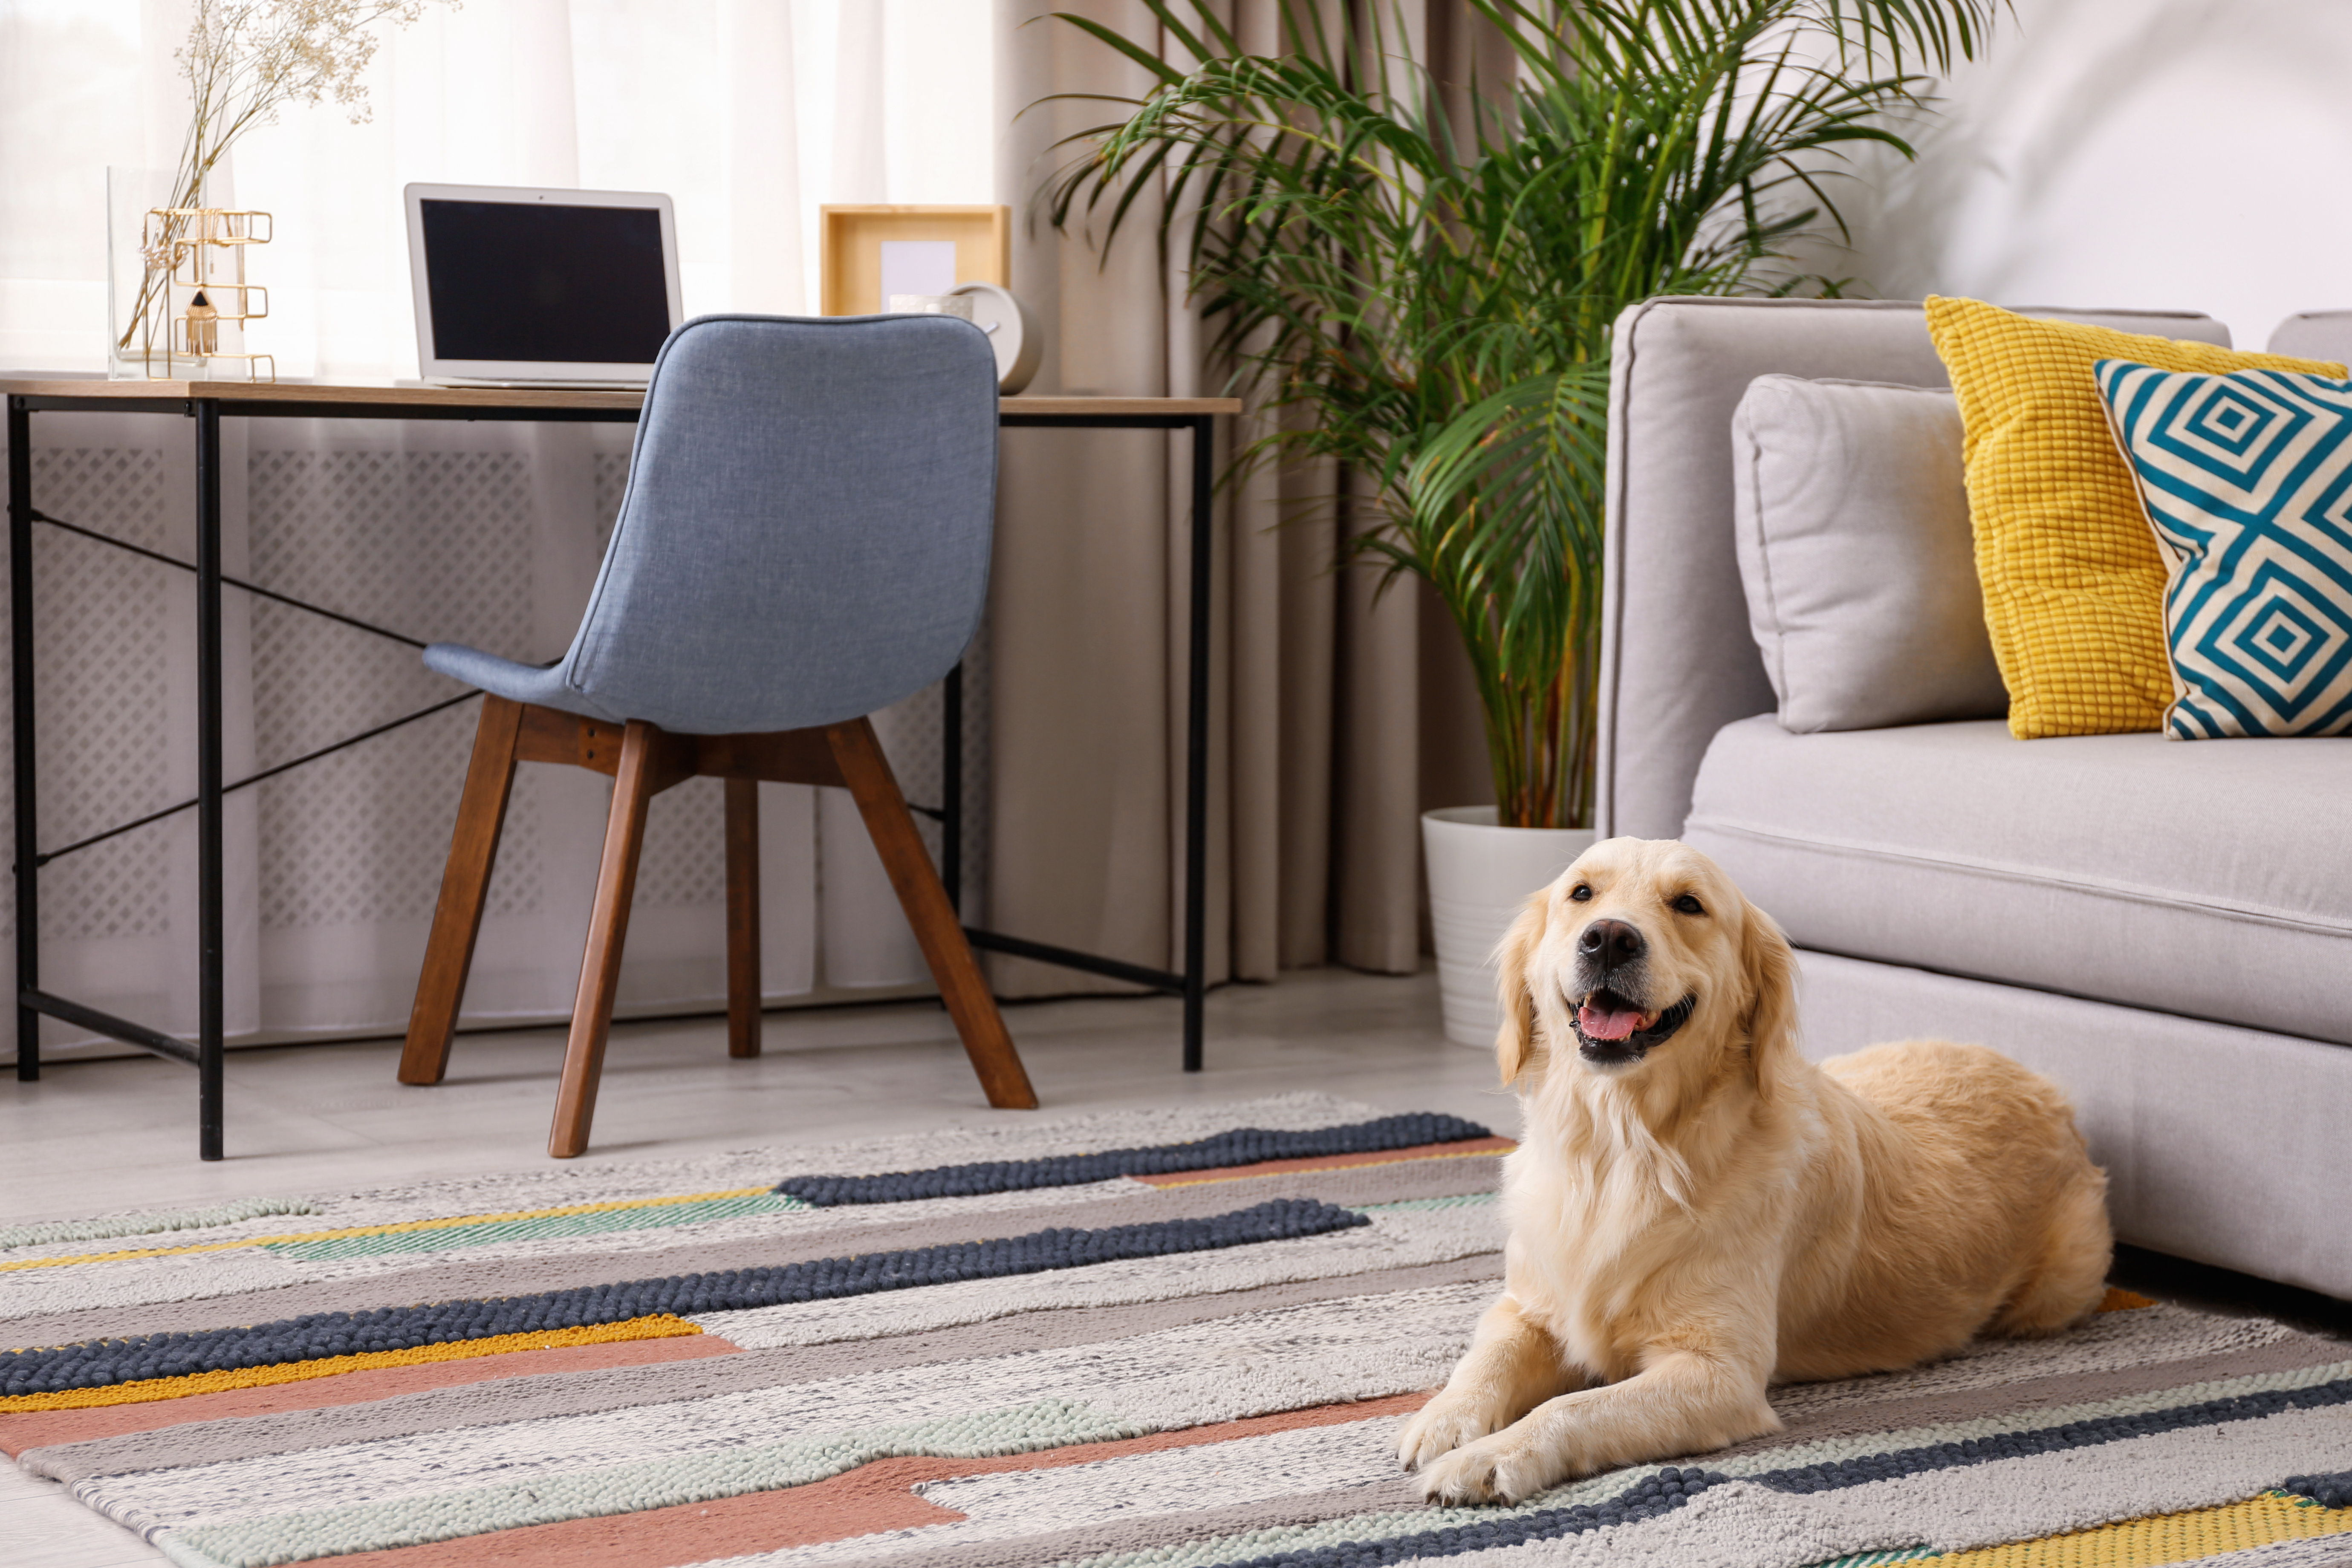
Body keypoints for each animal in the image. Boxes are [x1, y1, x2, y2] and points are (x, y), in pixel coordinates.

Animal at [1392, 841, 2117, 1504]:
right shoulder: (1527, 1303)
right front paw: (1447, 1418)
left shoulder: (1719, 1373)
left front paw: (1490, 1456)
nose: (1608, 938)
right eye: (1581, 893)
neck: (1620, 1148)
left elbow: (1571, 1406)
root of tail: (2051, 1093)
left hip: (2057, 1288)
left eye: (1688, 903)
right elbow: (1486, 1355)